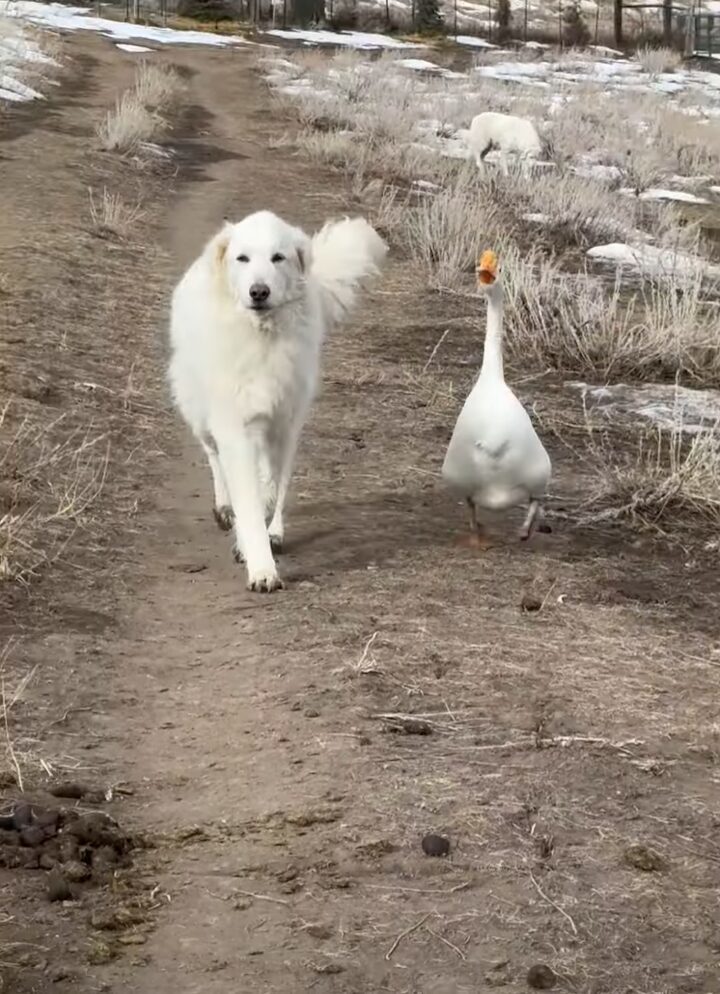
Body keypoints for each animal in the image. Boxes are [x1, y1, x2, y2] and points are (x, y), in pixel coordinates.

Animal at [169, 207, 388, 588]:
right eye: (242, 258)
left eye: (278, 258)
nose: (259, 291)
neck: (262, 337)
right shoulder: (234, 426)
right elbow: (246, 496)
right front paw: (261, 567)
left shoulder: (283, 425)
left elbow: (271, 490)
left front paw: (263, 537)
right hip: (198, 410)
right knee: (214, 457)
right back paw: (225, 509)